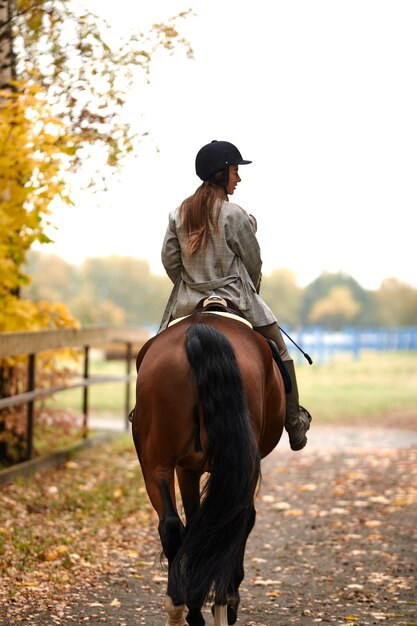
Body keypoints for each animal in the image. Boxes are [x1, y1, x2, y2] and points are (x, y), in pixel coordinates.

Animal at [131, 308, 286, 624]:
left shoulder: (186, 469)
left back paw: (179, 607)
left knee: (172, 526)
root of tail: (200, 332)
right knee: (231, 523)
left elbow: (195, 523)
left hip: (156, 463)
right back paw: (220, 606)